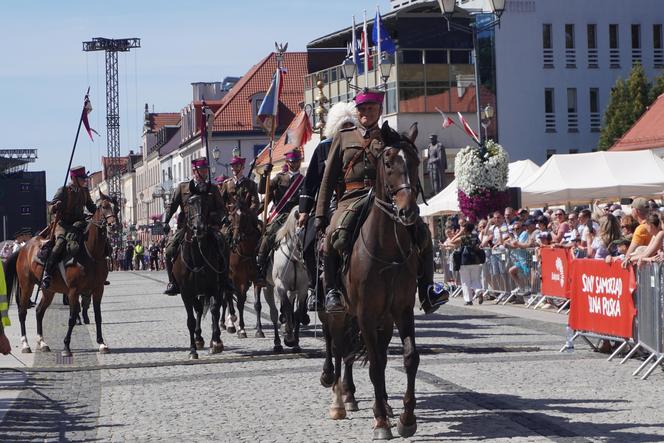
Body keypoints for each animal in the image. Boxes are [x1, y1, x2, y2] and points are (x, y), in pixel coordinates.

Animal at [5, 194, 118, 358]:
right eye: (104, 206)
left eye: (117, 207)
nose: (113, 225)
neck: (91, 252)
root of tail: (23, 248)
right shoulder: (73, 291)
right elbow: (72, 317)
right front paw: (66, 347)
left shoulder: (98, 290)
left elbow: (98, 316)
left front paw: (102, 344)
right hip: (26, 285)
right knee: (22, 312)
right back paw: (25, 344)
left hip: (48, 290)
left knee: (39, 312)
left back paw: (42, 343)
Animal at [174, 197, 226, 360]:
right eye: (189, 204)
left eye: (206, 204)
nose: (200, 228)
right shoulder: (186, 293)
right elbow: (190, 320)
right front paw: (192, 350)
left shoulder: (214, 287)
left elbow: (215, 310)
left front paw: (216, 342)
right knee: (198, 308)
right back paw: (198, 339)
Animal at [256, 206, 312, 352]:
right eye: (298, 233)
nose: (304, 257)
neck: (294, 258)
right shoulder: (280, 286)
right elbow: (286, 308)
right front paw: (289, 338)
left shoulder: (302, 289)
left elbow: (297, 313)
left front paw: (296, 343)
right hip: (268, 288)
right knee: (274, 313)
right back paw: (277, 342)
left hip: (292, 290)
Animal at [326, 124, 420, 440]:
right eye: (388, 163)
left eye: (415, 161)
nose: (408, 212)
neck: (386, 248)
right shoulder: (365, 314)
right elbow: (376, 366)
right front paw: (380, 422)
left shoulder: (401, 311)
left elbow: (409, 357)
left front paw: (406, 418)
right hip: (339, 313)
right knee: (338, 348)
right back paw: (339, 401)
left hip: (382, 320)